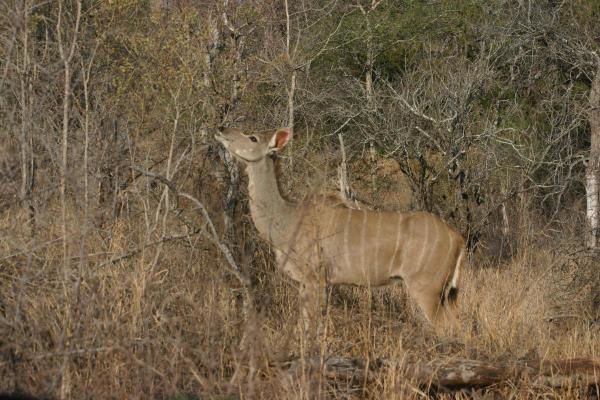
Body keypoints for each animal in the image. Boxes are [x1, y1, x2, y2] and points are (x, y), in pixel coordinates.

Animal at [216, 127, 464, 332]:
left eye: (252, 137)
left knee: (449, 327)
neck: (287, 220)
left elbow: (307, 327)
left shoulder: (315, 279)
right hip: (446, 294)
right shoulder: (313, 283)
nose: (221, 130)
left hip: (427, 289)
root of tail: (457, 238)